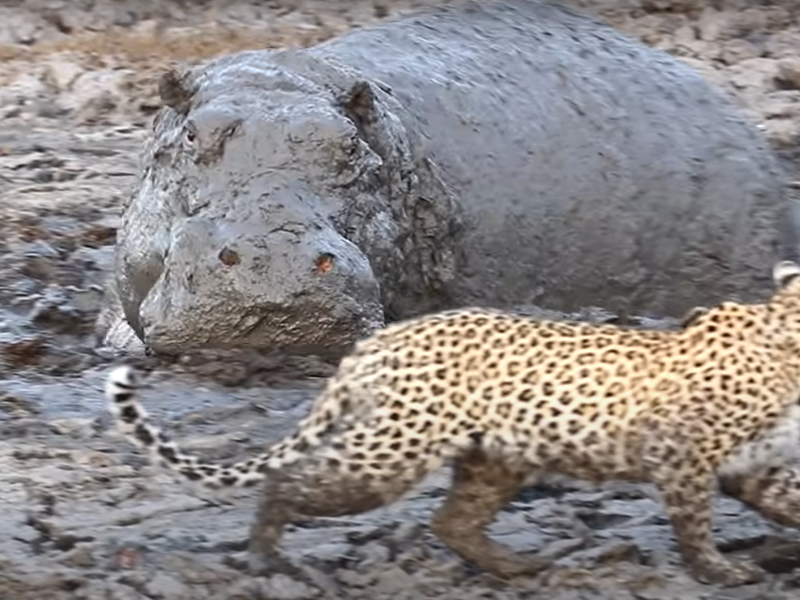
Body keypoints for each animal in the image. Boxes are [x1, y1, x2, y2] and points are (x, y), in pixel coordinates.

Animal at [105, 260, 800, 587]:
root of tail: (376, 341)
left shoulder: (752, 465)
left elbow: (788, 501)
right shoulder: (686, 456)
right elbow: (695, 524)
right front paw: (721, 572)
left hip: (495, 459)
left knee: (453, 520)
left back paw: (517, 567)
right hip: (391, 451)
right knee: (291, 482)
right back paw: (267, 555)